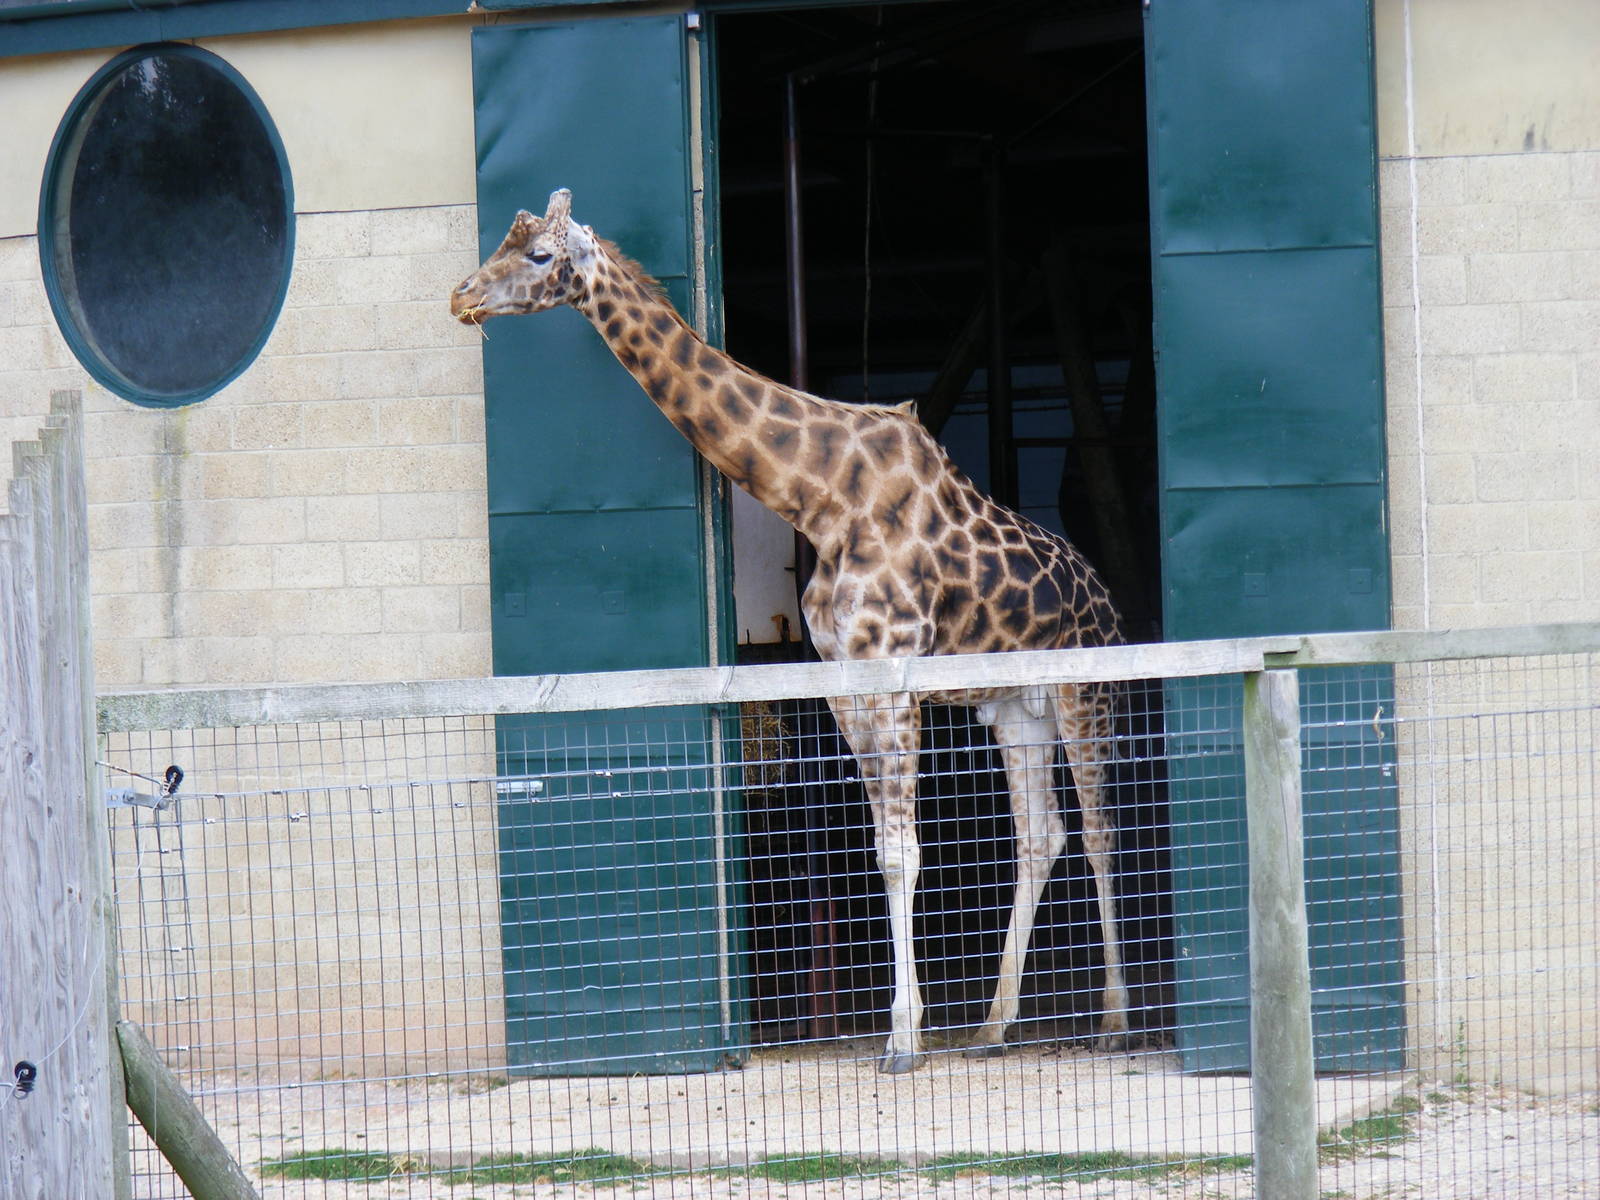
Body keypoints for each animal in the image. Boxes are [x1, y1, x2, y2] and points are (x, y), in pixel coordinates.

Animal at [452, 189, 1129, 1074]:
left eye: (538, 256)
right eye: (506, 239)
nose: (461, 296)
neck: (819, 496)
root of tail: (1109, 601)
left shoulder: (892, 669)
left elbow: (903, 851)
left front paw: (902, 1042)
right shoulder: (843, 678)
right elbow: (883, 851)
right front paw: (909, 1030)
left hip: (1087, 691)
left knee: (1099, 831)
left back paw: (1114, 1019)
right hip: (1017, 707)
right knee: (1040, 835)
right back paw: (992, 1025)